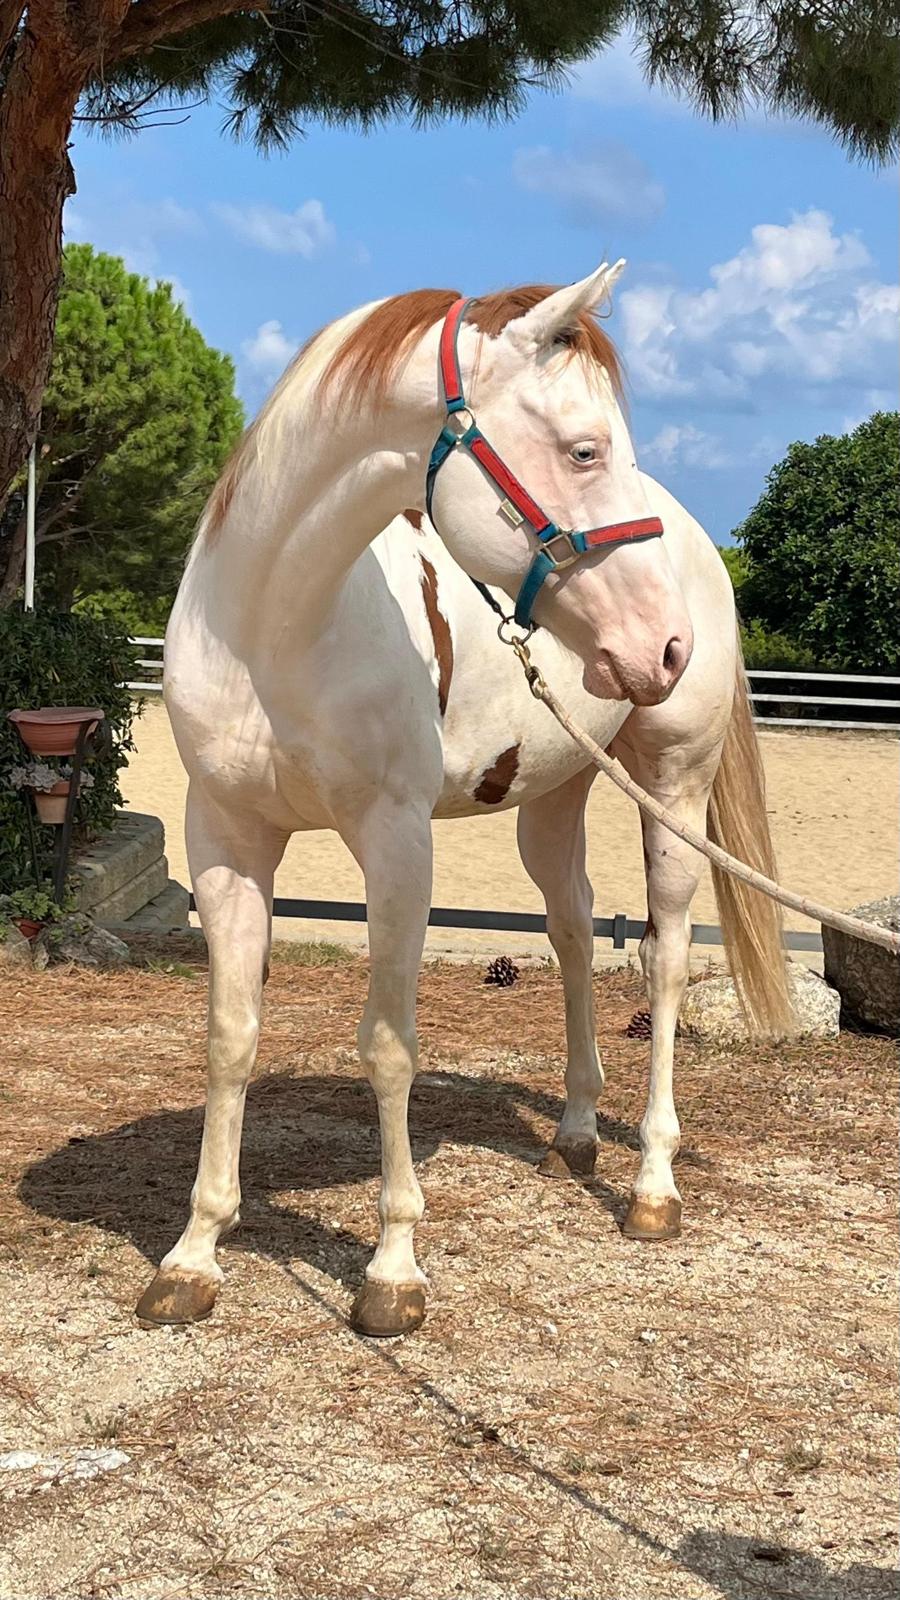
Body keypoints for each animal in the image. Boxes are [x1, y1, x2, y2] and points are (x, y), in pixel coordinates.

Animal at [138, 264, 792, 1337]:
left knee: (659, 960)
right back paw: (575, 1131)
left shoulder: (397, 844)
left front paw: (393, 1270)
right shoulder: (227, 839)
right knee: (574, 931)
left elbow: (389, 1048)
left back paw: (651, 1186)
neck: (279, 627)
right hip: (555, 797)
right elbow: (230, 1038)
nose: (665, 646)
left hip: (672, 790)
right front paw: (194, 1254)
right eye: (584, 448)